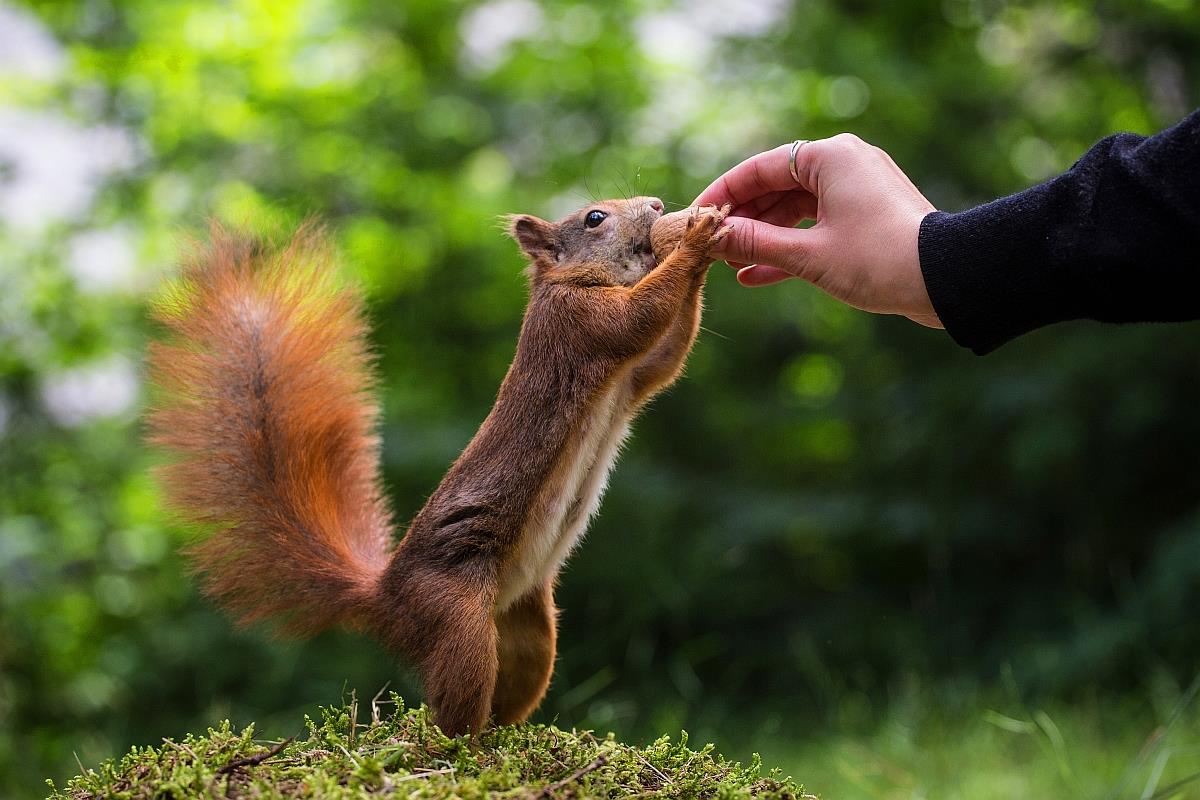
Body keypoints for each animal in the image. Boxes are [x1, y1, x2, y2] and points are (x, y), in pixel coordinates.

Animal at [145, 200, 724, 738]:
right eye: (595, 218)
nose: (656, 206)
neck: (570, 281)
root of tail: (386, 597)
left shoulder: (634, 380)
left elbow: (666, 358)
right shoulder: (575, 321)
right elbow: (638, 318)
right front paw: (697, 238)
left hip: (530, 631)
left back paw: (506, 735)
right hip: (455, 615)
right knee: (455, 702)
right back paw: (461, 750)